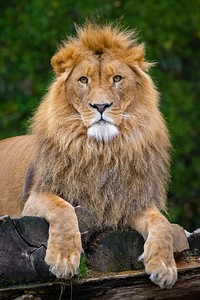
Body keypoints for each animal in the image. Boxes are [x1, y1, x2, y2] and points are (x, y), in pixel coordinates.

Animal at [0, 22, 178, 288]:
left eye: (117, 79)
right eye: (83, 80)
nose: (101, 106)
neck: (101, 151)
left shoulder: (128, 202)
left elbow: (162, 222)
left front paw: (165, 266)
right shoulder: (34, 198)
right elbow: (64, 209)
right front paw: (63, 259)